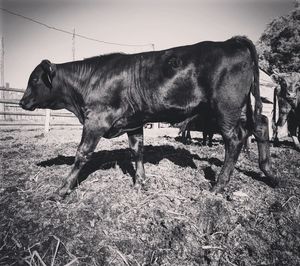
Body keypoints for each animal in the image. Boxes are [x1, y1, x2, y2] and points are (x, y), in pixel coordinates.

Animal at [19, 35, 276, 197]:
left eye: (34, 79)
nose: (22, 102)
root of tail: (232, 41)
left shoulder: (96, 121)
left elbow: (82, 154)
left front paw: (62, 189)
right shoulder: (133, 123)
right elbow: (137, 151)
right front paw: (140, 183)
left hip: (225, 109)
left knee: (235, 139)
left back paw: (219, 187)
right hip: (241, 107)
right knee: (260, 126)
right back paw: (269, 173)